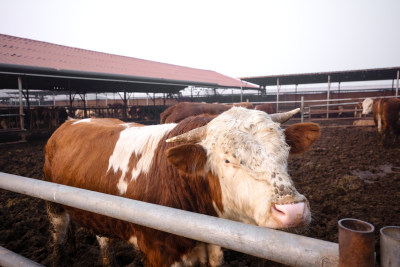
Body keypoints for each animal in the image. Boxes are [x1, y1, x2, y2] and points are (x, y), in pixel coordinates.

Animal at [43, 108, 318, 266]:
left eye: (285, 151)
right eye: (227, 160)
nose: (293, 211)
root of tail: (69, 122)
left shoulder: (212, 251)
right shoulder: (159, 254)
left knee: (102, 239)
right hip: (54, 205)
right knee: (58, 237)